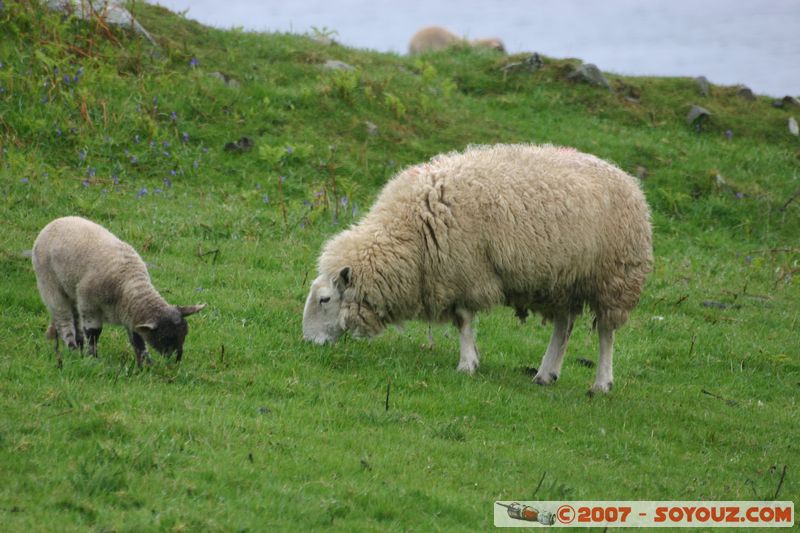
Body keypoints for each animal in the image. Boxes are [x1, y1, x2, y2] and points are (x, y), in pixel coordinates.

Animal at [32, 216, 205, 366]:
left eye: (185, 334)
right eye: (164, 337)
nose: (176, 360)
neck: (129, 283)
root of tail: (57, 221)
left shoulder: (131, 314)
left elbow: (137, 339)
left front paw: (146, 364)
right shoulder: (90, 305)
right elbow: (93, 333)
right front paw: (93, 359)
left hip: (72, 289)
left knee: (75, 317)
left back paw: (79, 346)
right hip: (50, 284)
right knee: (63, 318)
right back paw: (73, 348)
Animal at [304, 143, 652, 392]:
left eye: (325, 299)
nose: (307, 343)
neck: (410, 229)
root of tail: (628, 179)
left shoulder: (465, 272)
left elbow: (463, 321)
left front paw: (467, 364)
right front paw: (471, 361)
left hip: (615, 276)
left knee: (606, 332)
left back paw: (602, 383)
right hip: (562, 280)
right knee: (563, 326)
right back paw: (545, 373)